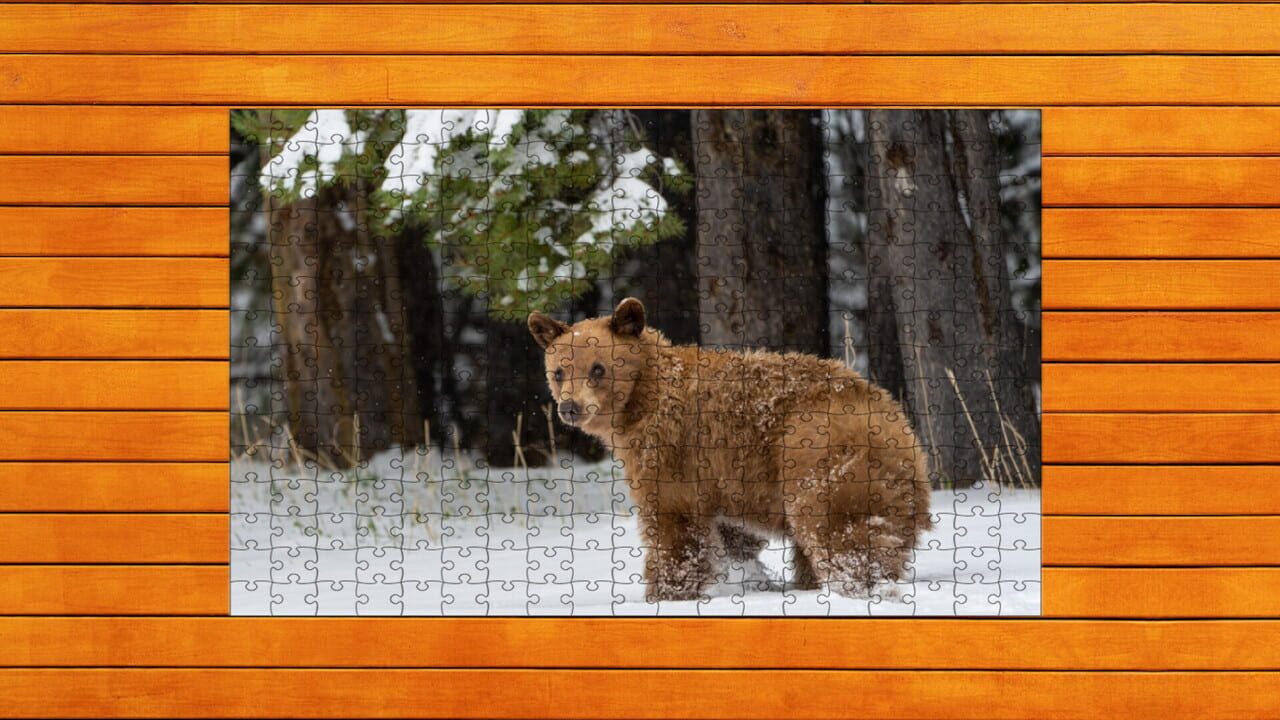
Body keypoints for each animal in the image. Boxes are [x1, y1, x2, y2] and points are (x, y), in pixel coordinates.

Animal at [528, 297, 931, 601]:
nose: (570, 407)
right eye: (559, 371)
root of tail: (901, 429)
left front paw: (667, 590)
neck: (641, 401)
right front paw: (744, 575)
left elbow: (674, 523)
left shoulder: (673, 453)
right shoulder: (720, 479)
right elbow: (731, 534)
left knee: (836, 531)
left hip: (818, 456)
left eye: (598, 369)